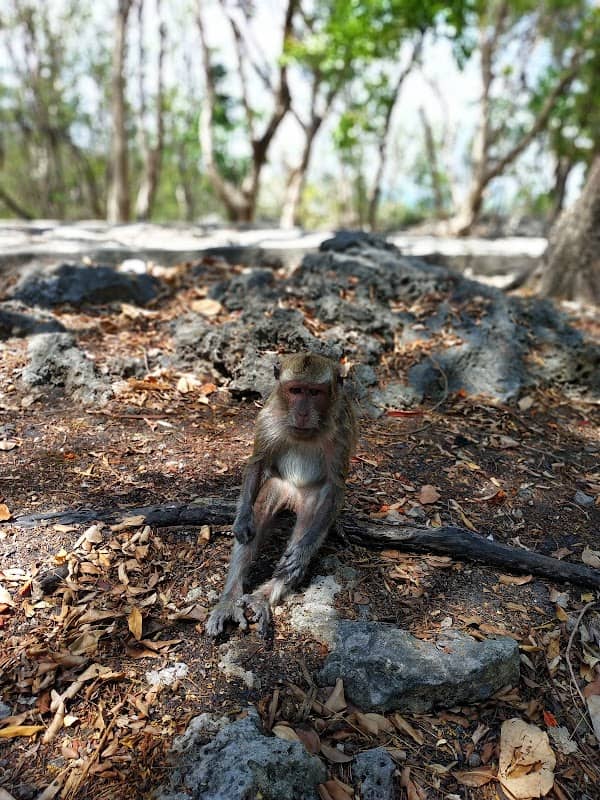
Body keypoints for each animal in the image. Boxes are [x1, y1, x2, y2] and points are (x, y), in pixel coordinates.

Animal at [206, 353, 357, 637]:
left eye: (314, 392)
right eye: (296, 390)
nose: (302, 412)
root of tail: (293, 499)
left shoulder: (342, 428)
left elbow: (335, 485)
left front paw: (299, 555)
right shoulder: (267, 418)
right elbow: (257, 462)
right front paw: (242, 520)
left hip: (308, 498)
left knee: (312, 517)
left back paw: (263, 596)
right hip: (281, 488)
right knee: (264, 502)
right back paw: (230, 600)